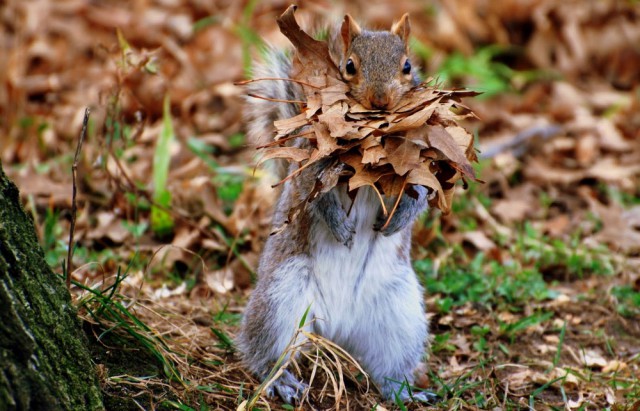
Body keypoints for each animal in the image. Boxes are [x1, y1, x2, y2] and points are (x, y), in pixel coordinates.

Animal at [238, 10, 438, 406]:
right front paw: (339, 226)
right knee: (264, 351)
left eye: (407, 66)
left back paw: (402, 392)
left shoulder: (422, 159)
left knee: (389, 366)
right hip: (282, 297)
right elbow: (315, 197)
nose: (380, 99)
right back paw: (281, 381)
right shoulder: (312, 164)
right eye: (349, 66)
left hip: (400, 311)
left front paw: (399, 219)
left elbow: (421, 192)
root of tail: (337, 328)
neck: (375, 145)